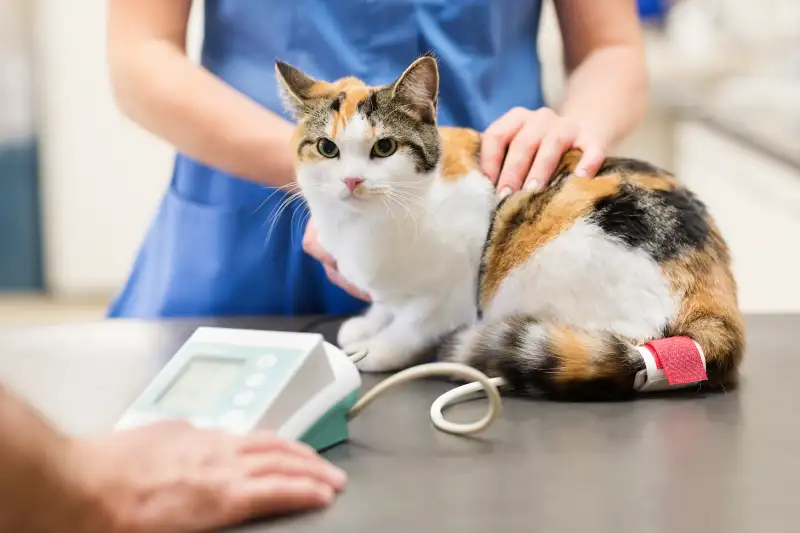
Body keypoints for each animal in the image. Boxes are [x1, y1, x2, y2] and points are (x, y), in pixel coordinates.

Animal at [276, 55, 744, 400]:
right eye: (327, 148)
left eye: (384, 147)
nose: (352, 181)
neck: (369, 226)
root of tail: (715, 298)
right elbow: (386, 304)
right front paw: (369, 323)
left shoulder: (452, 291)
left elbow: (412, 326)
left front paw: (374, 349)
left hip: (542, 266)